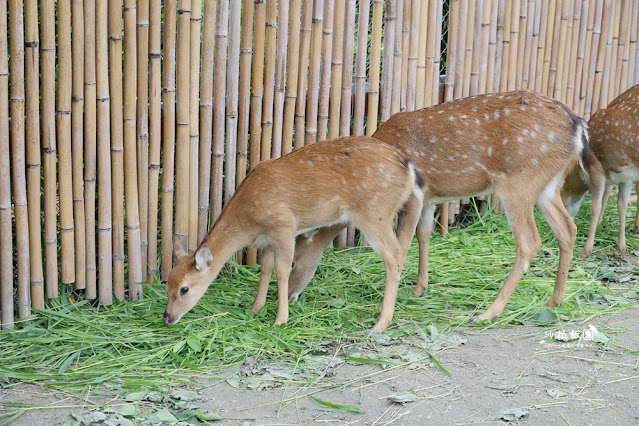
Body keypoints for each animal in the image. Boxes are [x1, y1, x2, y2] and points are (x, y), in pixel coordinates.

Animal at [164, 136, 424, 332]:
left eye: (184, 289)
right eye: (167, 283)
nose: (167, 317)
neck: (250, 218)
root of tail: (410, 169)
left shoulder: (283, 225)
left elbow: (281, 271)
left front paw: (280, 320)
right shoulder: (267, 239)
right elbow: (265, 268)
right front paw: (255, 309)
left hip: (373, 213)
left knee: (394, 254)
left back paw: (380, 323)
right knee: (403, 248)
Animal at [288, 90, 588, 322]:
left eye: (293, 261)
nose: (289, 295)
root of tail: (578, 126)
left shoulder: (414, 196)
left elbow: (403, 244)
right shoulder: (430, 199)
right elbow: (424, 235)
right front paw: (419, 288)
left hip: (519, 182)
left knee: (530, 242)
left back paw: (489, 313)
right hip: (548, 185)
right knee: (568, 228)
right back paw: (555, 300)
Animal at [560, 84, 639, 256]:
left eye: (562, 190)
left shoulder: (596, 168)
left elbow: (595, 207)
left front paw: (586, 249)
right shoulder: (626, 176)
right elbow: (622, 205)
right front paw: (621, 247)